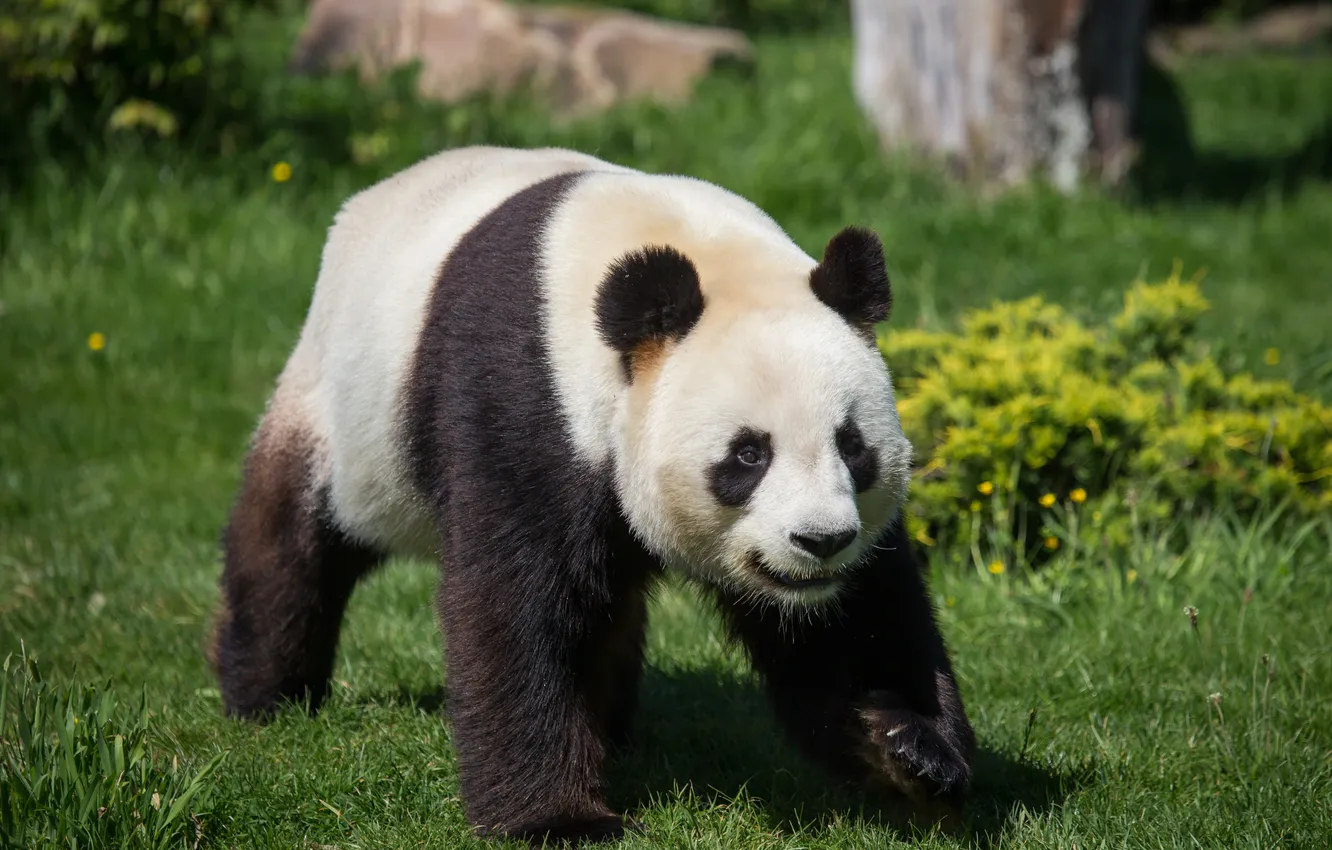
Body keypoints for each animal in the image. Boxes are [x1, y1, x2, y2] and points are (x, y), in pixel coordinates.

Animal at [210, 146, 975, 844]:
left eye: (853, 446)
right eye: (748, 454)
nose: (820, 542)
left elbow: (857, 620)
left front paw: (911, 749)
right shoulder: (527, 399)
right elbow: (516, 602)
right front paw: (561, 821)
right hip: (346, 417)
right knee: (289, 541)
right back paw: (268, 697)